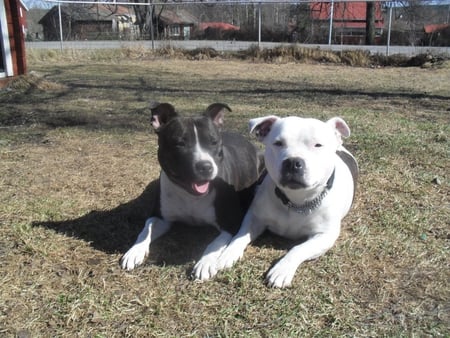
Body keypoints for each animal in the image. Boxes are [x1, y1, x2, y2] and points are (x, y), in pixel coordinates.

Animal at [121, 103, 262, 280]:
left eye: (213, 142)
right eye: (180, 143)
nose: (205, 166)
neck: (190, 195)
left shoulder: (231, 223)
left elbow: (214, 244)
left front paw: (205, 263)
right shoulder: (160, 217)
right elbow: (146, 230)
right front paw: (134, 251)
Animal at [214, 115, 358, 288]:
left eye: (318, 145)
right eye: (278, 143)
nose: (292, 162)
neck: (296, 201)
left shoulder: (325, 235)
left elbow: (299, 248)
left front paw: (282, 269)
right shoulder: (254, 218)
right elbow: (240, 236)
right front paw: (228, 254)